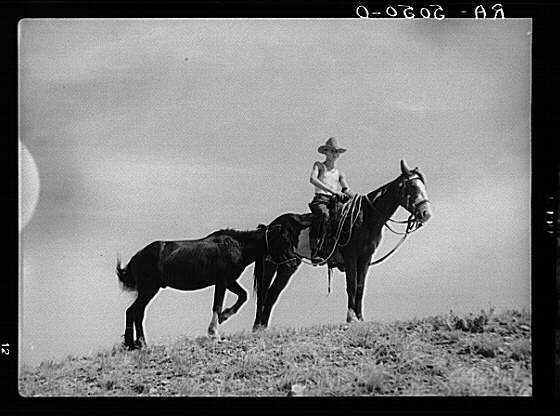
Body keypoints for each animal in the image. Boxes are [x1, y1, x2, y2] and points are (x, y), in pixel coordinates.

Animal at [115, 223, 290, 350]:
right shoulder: (222, 282)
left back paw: (136, 344)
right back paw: (138, 343)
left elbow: (243, 295)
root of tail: (136, 258)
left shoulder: (229, 281)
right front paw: (214, 333)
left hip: (149, 290)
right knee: (135, 311)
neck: (237, 245)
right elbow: (217, 305)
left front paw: (224, 316)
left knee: (135, 312)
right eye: (284, 241)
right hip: (149, 289)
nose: (290, 262)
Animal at [254, 161, 434, 330]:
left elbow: (360, 287)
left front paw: (360, 318)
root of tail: (270, 226)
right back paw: (258, 326)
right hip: (277, 264)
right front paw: (351, 317)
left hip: (286, 265)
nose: (426, 213)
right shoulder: (350, 257)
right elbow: (351, 285)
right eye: (412, 186)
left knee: (271, 295)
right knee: (265, 294)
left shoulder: (365, 258)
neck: (364, 218)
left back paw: (263, 327)